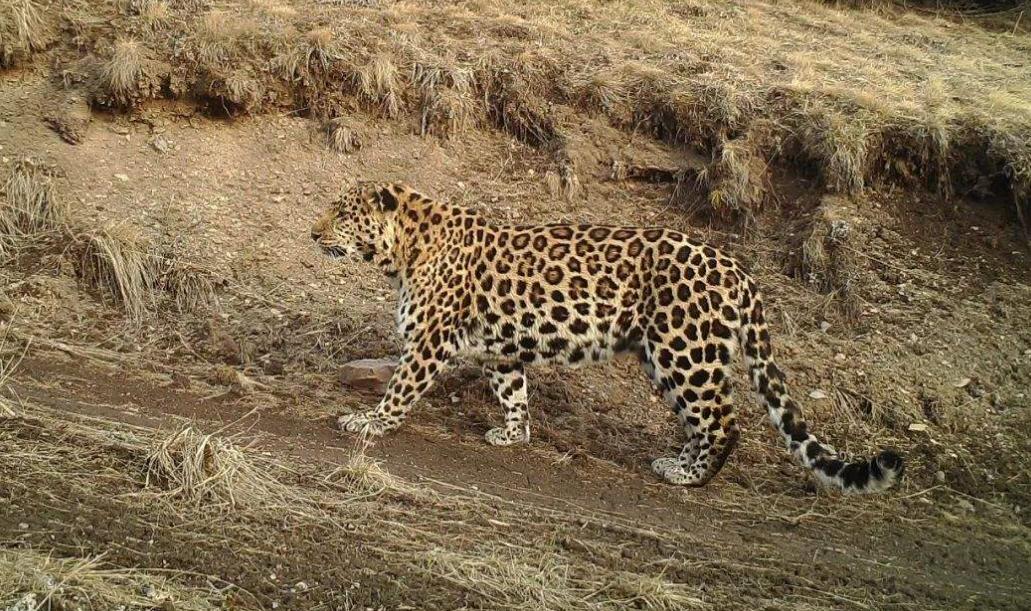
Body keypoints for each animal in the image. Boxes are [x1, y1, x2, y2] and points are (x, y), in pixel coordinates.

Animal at [310, 182, 904, 492]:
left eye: (342, 213)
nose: (313, 233)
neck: (404, 250)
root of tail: (739, 269)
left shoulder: (429, 341)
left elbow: (400, 388)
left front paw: (368, 423)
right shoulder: (500, 346)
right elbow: (514, 392)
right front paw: (515, 435)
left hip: (685, 352)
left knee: (723, 421)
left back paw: (688, 476)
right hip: (665, 358)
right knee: (702, 419)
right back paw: (677, 462)